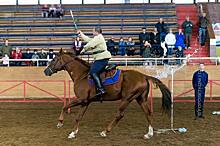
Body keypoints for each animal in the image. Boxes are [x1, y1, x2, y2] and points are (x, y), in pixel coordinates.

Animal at [43, 50, 171, 139]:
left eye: (54, 60)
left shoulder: (81, 99)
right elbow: (78, 117)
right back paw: (149, 134)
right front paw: (73, 133)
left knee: (120, 115)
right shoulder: (85, 102)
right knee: (148, 113)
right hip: (141, 99)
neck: (82, 75)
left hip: (127, 99)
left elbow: (65, 106)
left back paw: (105, 131)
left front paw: (60, 123)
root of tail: (143, 76)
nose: (46, 71)